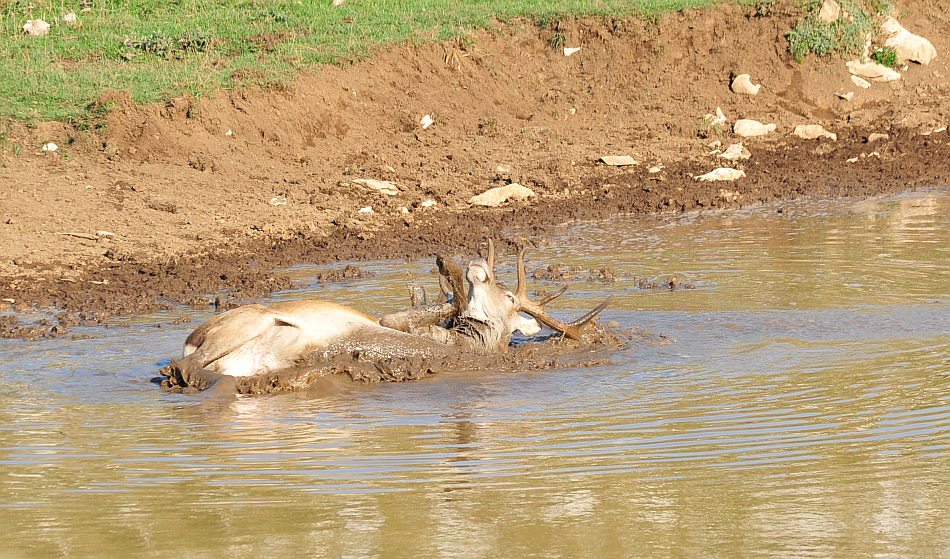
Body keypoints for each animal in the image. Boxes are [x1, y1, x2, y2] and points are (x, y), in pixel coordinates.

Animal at [162, 242, 608, 394]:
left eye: (511, 295)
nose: (479, 263)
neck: (469, 343)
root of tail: (192, 334)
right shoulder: (394, 321)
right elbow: (423, 309)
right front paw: (443, 280)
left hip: (248, 322)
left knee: (189, 364)